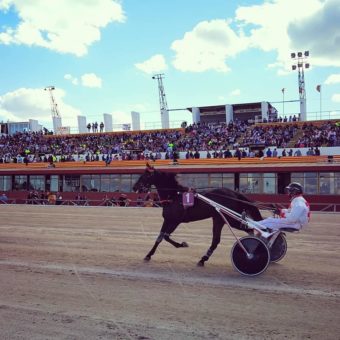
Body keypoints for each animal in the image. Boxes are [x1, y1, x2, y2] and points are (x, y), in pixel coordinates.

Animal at [133, 164, 262, 266]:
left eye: (145, 176)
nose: (134, 187)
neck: (174, 196)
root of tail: (234, 193)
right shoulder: (168, 219)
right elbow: (160, 238)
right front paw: (148, 255)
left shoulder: (176, 220)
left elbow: (166, 236)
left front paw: (182, 244)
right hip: (219, 219)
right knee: (216, 240)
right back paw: (203, 259)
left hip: (229, 219)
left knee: (249, 229)